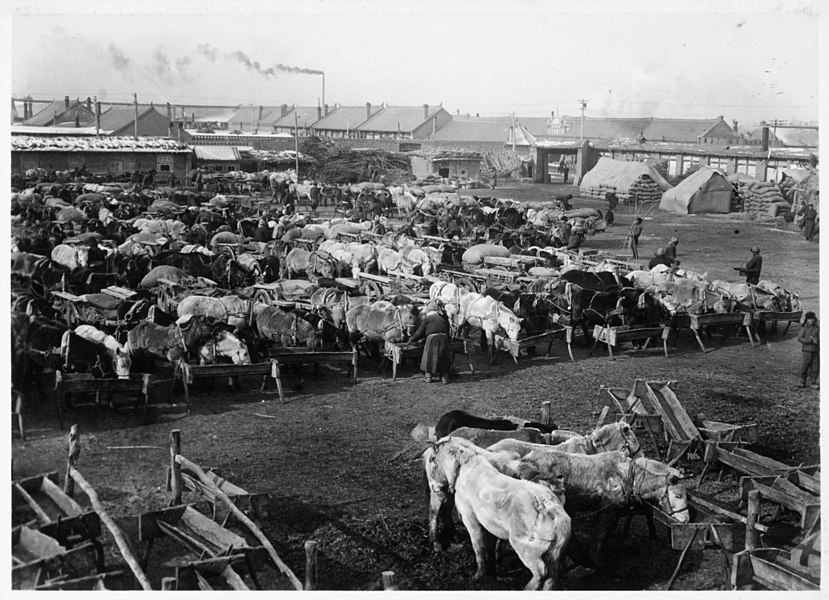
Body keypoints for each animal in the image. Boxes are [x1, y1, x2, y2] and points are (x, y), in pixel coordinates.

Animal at [420, 436, 568, 592]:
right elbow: (489, 546)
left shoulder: (471, 520)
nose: (435, 486)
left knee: (541, 573)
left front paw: (479, 575)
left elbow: (479, 547)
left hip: (529, 552)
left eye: (433, 459)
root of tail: (553, 512)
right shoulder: (490, 525)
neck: (466, 472)